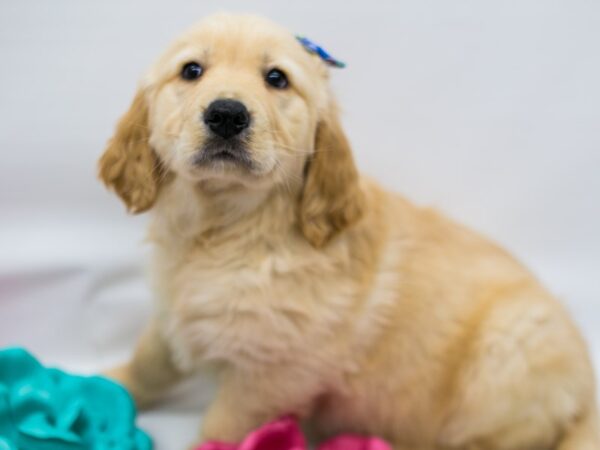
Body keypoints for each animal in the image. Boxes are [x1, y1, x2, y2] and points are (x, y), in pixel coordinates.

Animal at [98, 12, 596, 448]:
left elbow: (221, 426)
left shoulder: (271, 376)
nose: (226, 114)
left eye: (276, 78)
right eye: (191, 71)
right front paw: (105, 381)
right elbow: (148, 361)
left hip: (510, 353)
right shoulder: (172, 312)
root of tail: (589, 392)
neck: (224, 227)